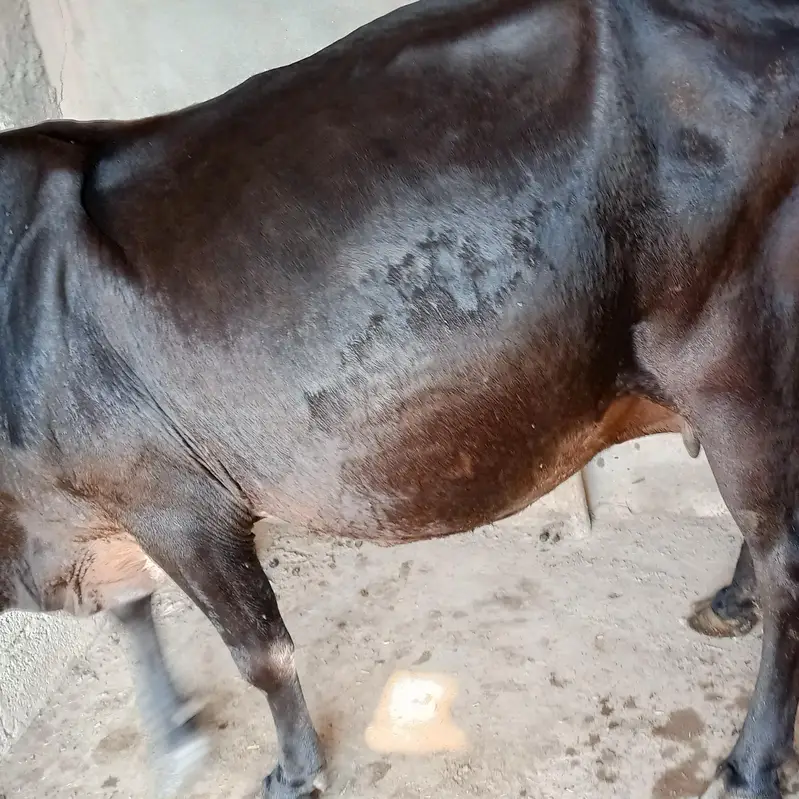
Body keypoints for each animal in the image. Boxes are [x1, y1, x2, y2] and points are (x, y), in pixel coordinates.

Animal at [0, 0, 796, 796]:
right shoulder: (91, 518)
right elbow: (131, 612)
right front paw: (174, 736)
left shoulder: (172, 501)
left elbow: (259, 652)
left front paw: (294, 770)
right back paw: (731, 602)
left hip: (731, 363)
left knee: (783, 558)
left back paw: (749, 762)